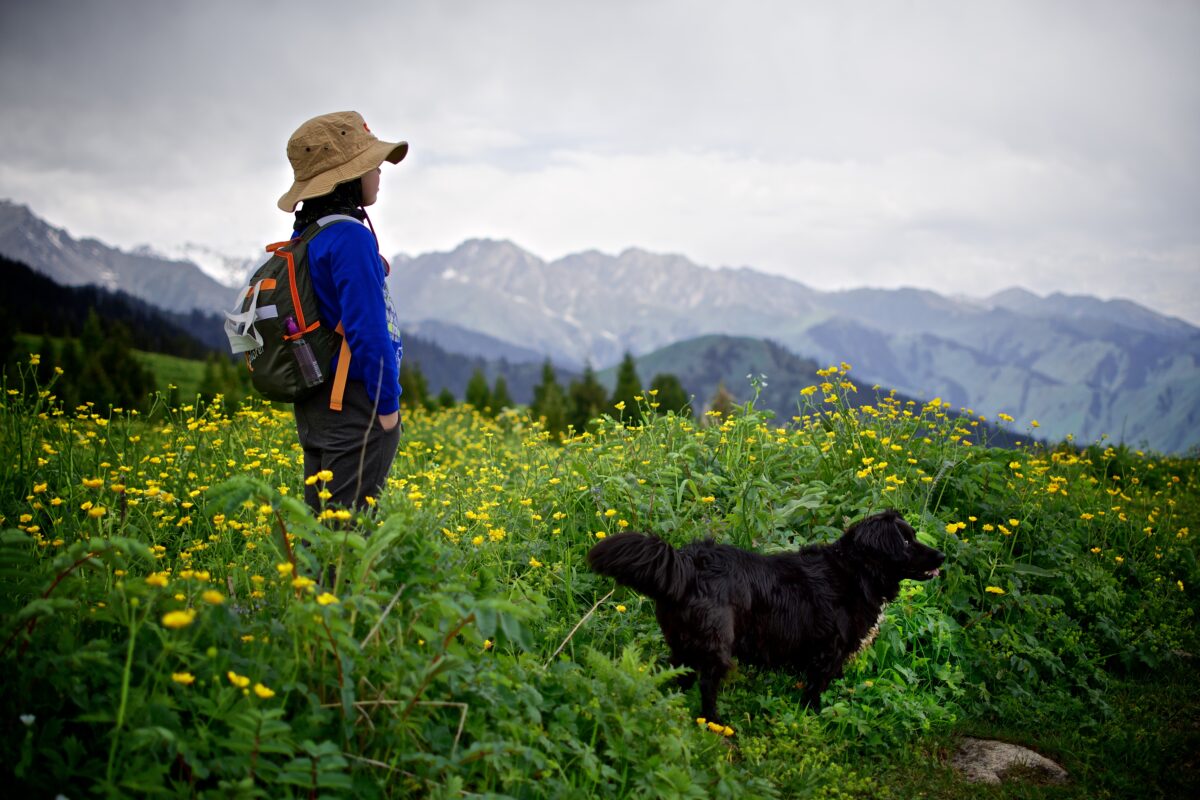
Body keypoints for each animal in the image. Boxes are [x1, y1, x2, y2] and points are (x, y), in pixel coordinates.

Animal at [588, 513, 945, 724]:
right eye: (906, 540)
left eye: (913, 535)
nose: (942, 555)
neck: (857, 570)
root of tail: (688, 562)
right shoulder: (827, 652)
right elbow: (814, 692)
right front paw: (813, 719)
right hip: (716, 646)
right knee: (706, 685)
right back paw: (714, 724)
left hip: (683, 643)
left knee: (676, 675)